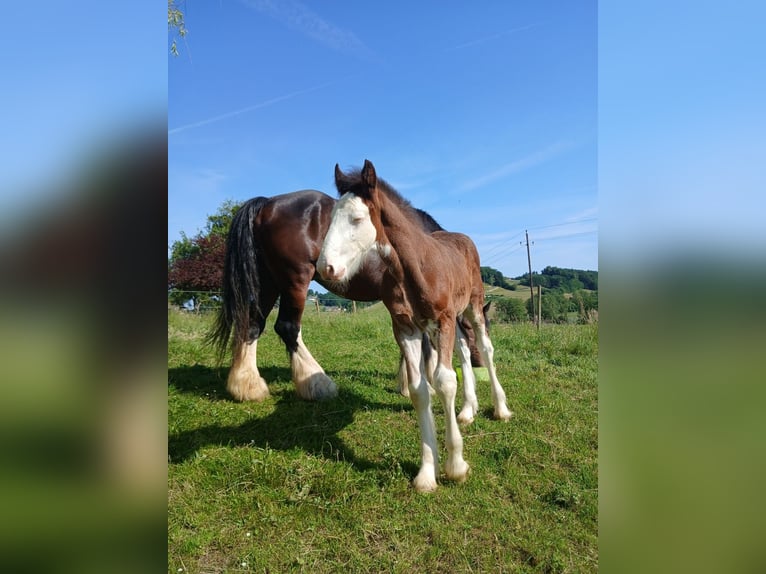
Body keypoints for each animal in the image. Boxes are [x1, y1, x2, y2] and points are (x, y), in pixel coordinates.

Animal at [210, 189, 486, 404]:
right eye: (477, 330)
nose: (480, 363)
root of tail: (267, 204)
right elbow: (424, 344)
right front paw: (418, 383)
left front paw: (407, 382)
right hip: (294, 281)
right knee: (288, 327)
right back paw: (318, 384)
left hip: (269, 283)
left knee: (253, 324)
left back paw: (247, 387)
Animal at [318, 162, 516, 496]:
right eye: (330, 218)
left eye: (357, 218)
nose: (325, 267)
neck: (413, 268)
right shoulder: (406, 328)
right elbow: (420, 390)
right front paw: (426, 472)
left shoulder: (443, 320)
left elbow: (445, 381)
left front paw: (455, 466)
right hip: (453, 320)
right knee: (464, 349)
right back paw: (467, 410)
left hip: (472, 305)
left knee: (485, 348)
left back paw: (500, 408)